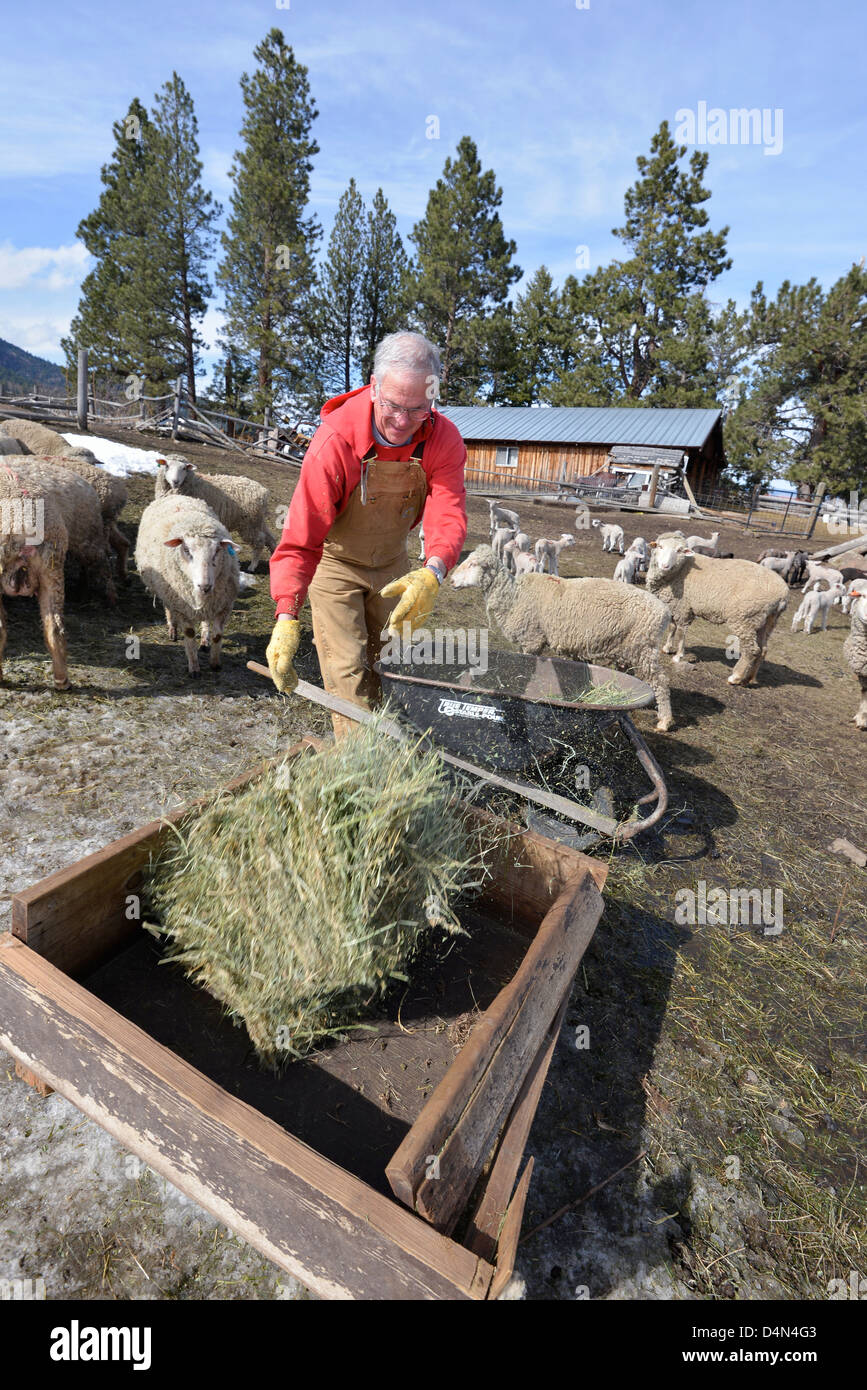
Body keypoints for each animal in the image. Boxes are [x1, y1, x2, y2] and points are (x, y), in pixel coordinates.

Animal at [136, 497, 241, 675]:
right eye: (186, 550)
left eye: (217, 551)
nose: (204, 586)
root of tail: (175, 495)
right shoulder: (181, 607)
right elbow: (190, 634)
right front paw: (194, 668)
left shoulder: (223, 606)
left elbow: (218, 636)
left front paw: (215, 663)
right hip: (167, 591)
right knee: (168, 608)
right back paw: (173, 630)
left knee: (205, 620)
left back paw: (204, 641)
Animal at [450, 542, 675, 733]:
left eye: (474, 564)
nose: (451, 580)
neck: (513, 596)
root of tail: (663, 610)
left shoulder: (532, 638)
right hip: (630, 647)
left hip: (643, 646)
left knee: (661, 681)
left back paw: (664, 720)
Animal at [647, 530, 789, 683]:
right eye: (659, 546)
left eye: (679, 550)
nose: (665, 566)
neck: (682, 569)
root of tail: (783, 594)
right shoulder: (674, 604)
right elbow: (672, 627)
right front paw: (667, 648)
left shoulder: (683, 607)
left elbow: (680, 632)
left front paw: (678, 656)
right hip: (766, 620)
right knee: (763, 650)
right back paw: (750, 679)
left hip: (745, 618)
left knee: (751, 650)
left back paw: (735, 677)